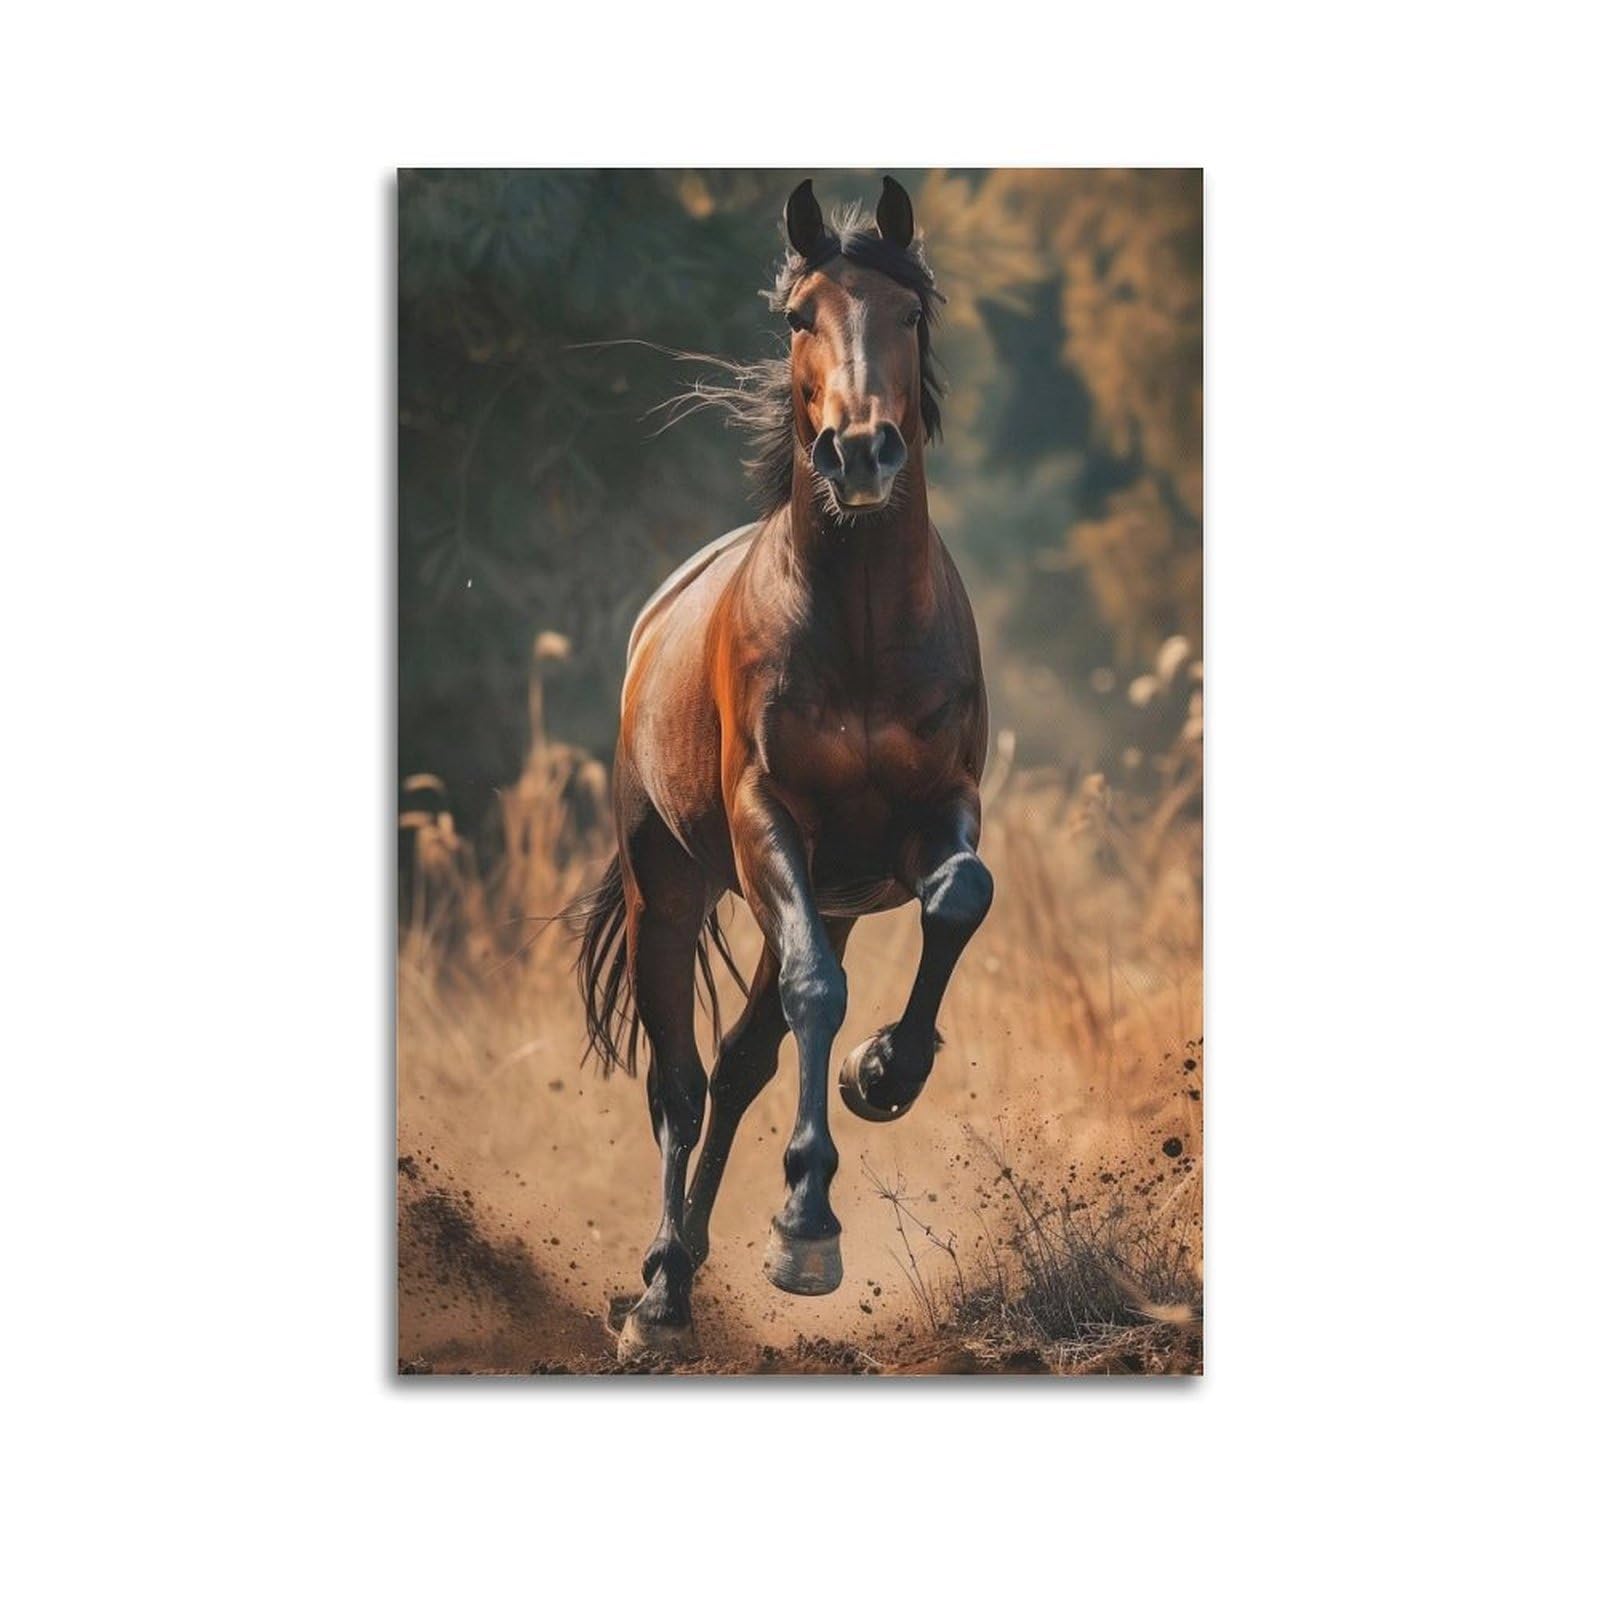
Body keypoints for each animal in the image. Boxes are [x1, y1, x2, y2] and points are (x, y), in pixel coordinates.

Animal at [573, 176, 993, 1361]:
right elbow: (815, 991)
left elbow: (958, 898)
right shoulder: (769, 821)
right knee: (678, 1082)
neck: (859, 626)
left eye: (908, 312)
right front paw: (806, 1228)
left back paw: (685, 1271)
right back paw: (658, 1296)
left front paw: (883, 1072)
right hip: (669, 887)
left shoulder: (935, 812)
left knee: (741, 1060)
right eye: (802, 316)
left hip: (829, 896)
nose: (861, 453)